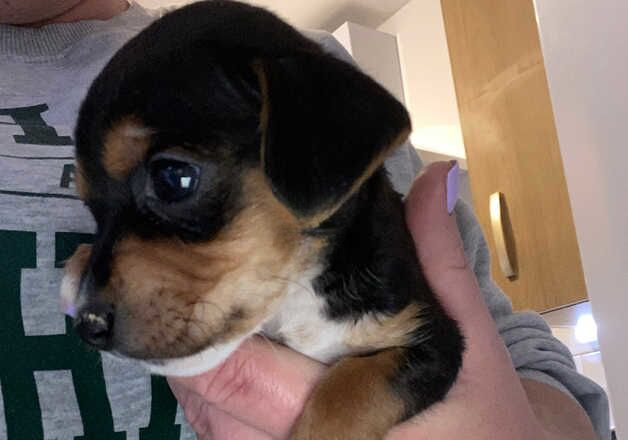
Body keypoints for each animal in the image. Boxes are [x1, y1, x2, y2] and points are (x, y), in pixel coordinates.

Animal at [61, 1, 464, 438]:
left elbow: (350, 388)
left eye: (174, 178)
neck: (300, 292)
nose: (88, 325)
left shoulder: (432, 340)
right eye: (92, 208)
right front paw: (79, 261)